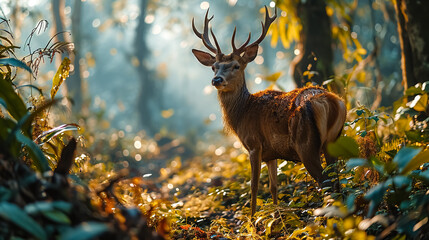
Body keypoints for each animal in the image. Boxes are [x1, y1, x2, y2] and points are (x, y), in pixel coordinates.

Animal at [192, 6, 346, 216]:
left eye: (236, 66)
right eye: (214, 67)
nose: (216, 80)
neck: (241, 114)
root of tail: (330, 102)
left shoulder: (254, 144)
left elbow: (254, 186)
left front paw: (252, 218)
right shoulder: (271, 154)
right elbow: (274, 187)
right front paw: (276, 214)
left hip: (306, 144)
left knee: (327, 183)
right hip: (333, 141)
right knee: (338, 182)